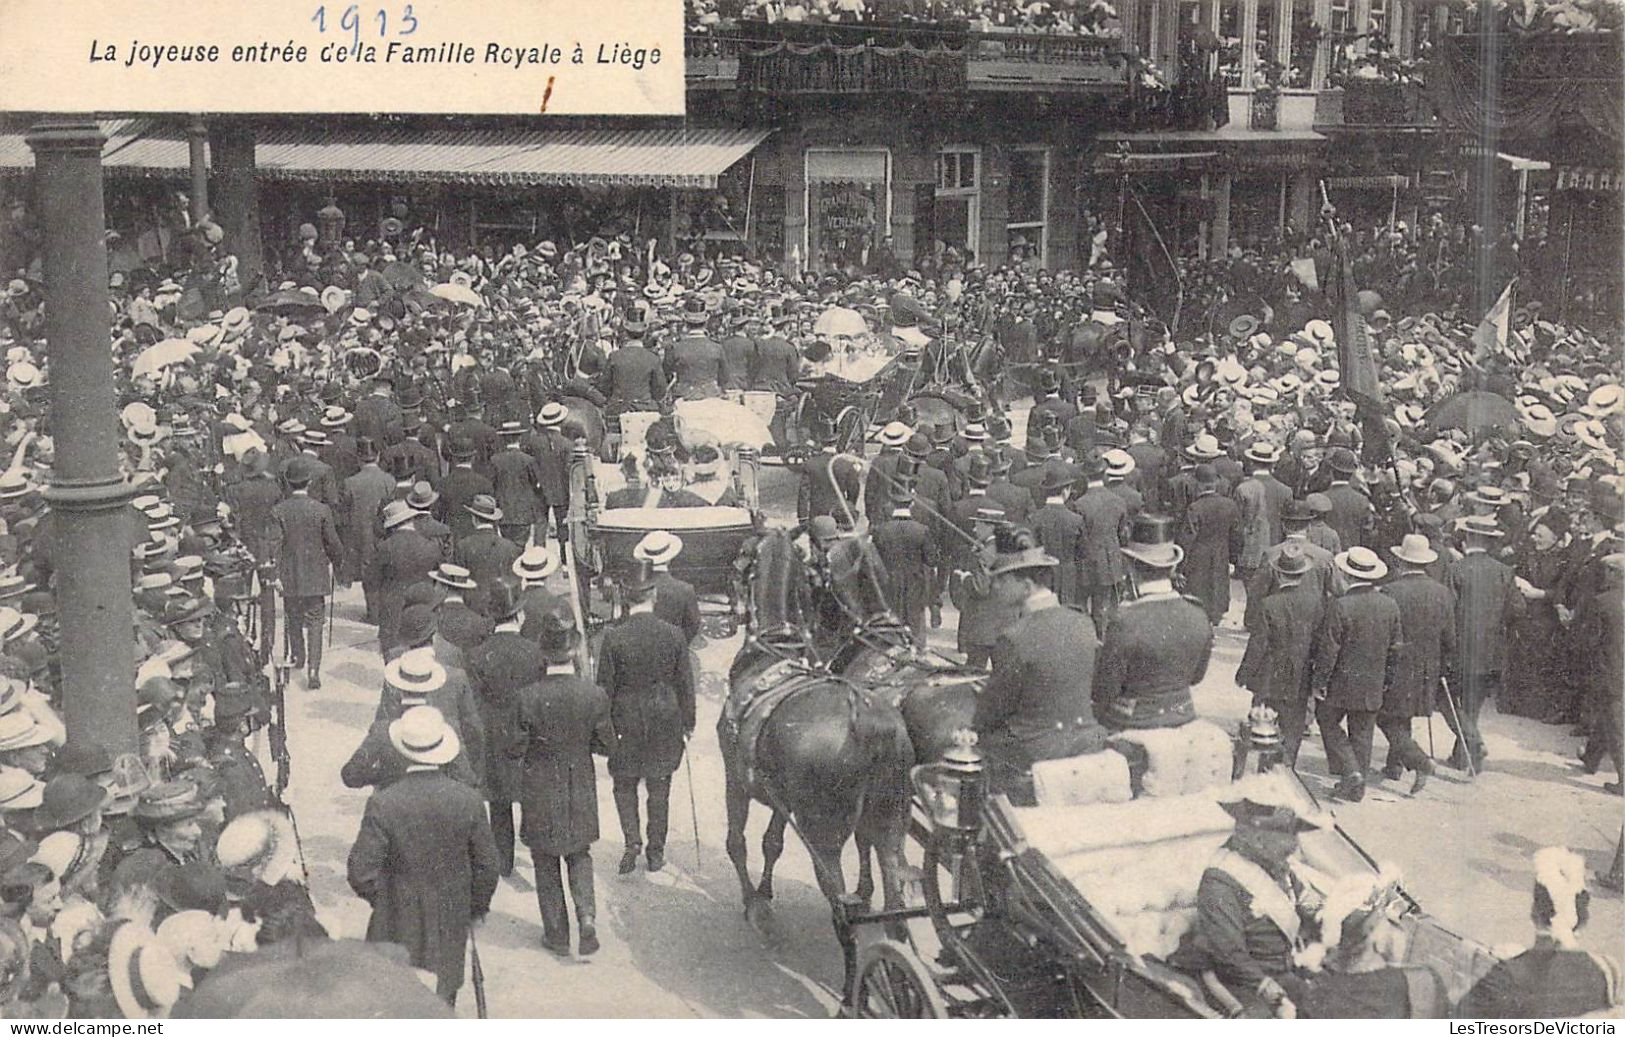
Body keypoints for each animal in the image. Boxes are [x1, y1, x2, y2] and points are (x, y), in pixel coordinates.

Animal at [721, 526, 923, 936]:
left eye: (739, 559)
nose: (729, 612)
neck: (773, 652)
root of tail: (867, 721)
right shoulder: (780, 797)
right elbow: (772, 843)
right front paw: (764, 893)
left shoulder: (735, 778)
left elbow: (737, 843)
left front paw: (753, 903)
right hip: (891, 822)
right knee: (893, 888)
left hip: (823, 837)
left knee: (842, 901)